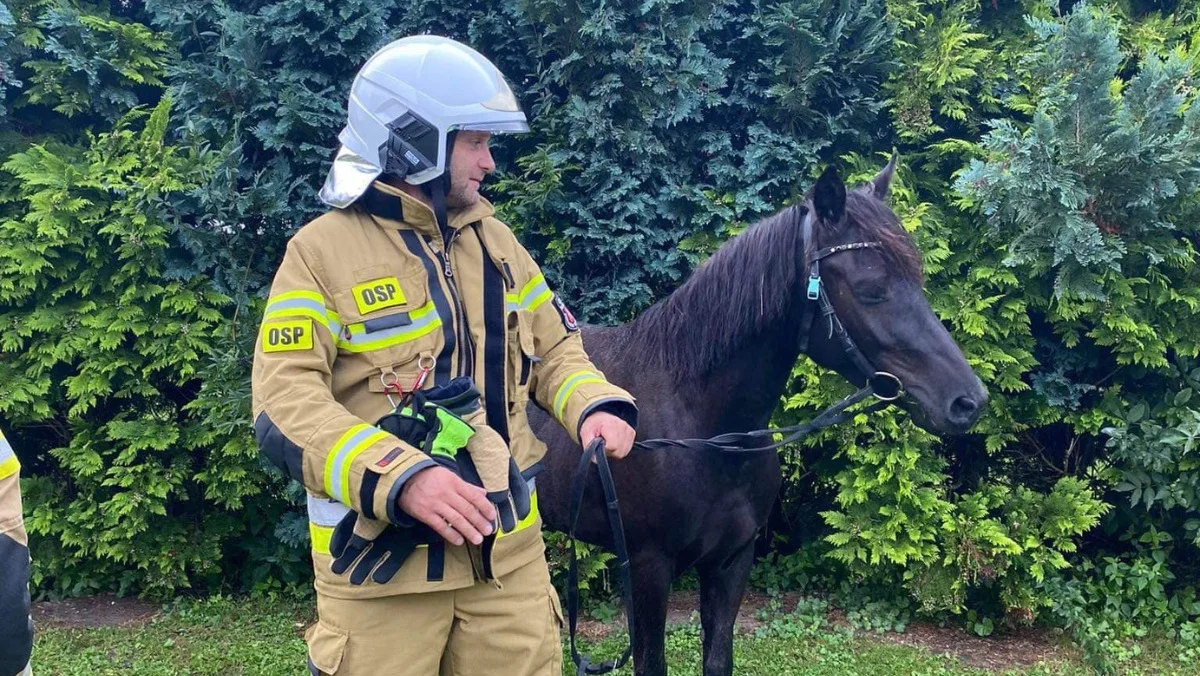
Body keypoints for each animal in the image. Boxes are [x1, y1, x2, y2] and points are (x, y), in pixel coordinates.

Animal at [532, 159, 984, 676]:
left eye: (918, 279)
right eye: (871, 291)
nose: (968, 401)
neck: (704, 429)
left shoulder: (731, 562)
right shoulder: (648, 569)